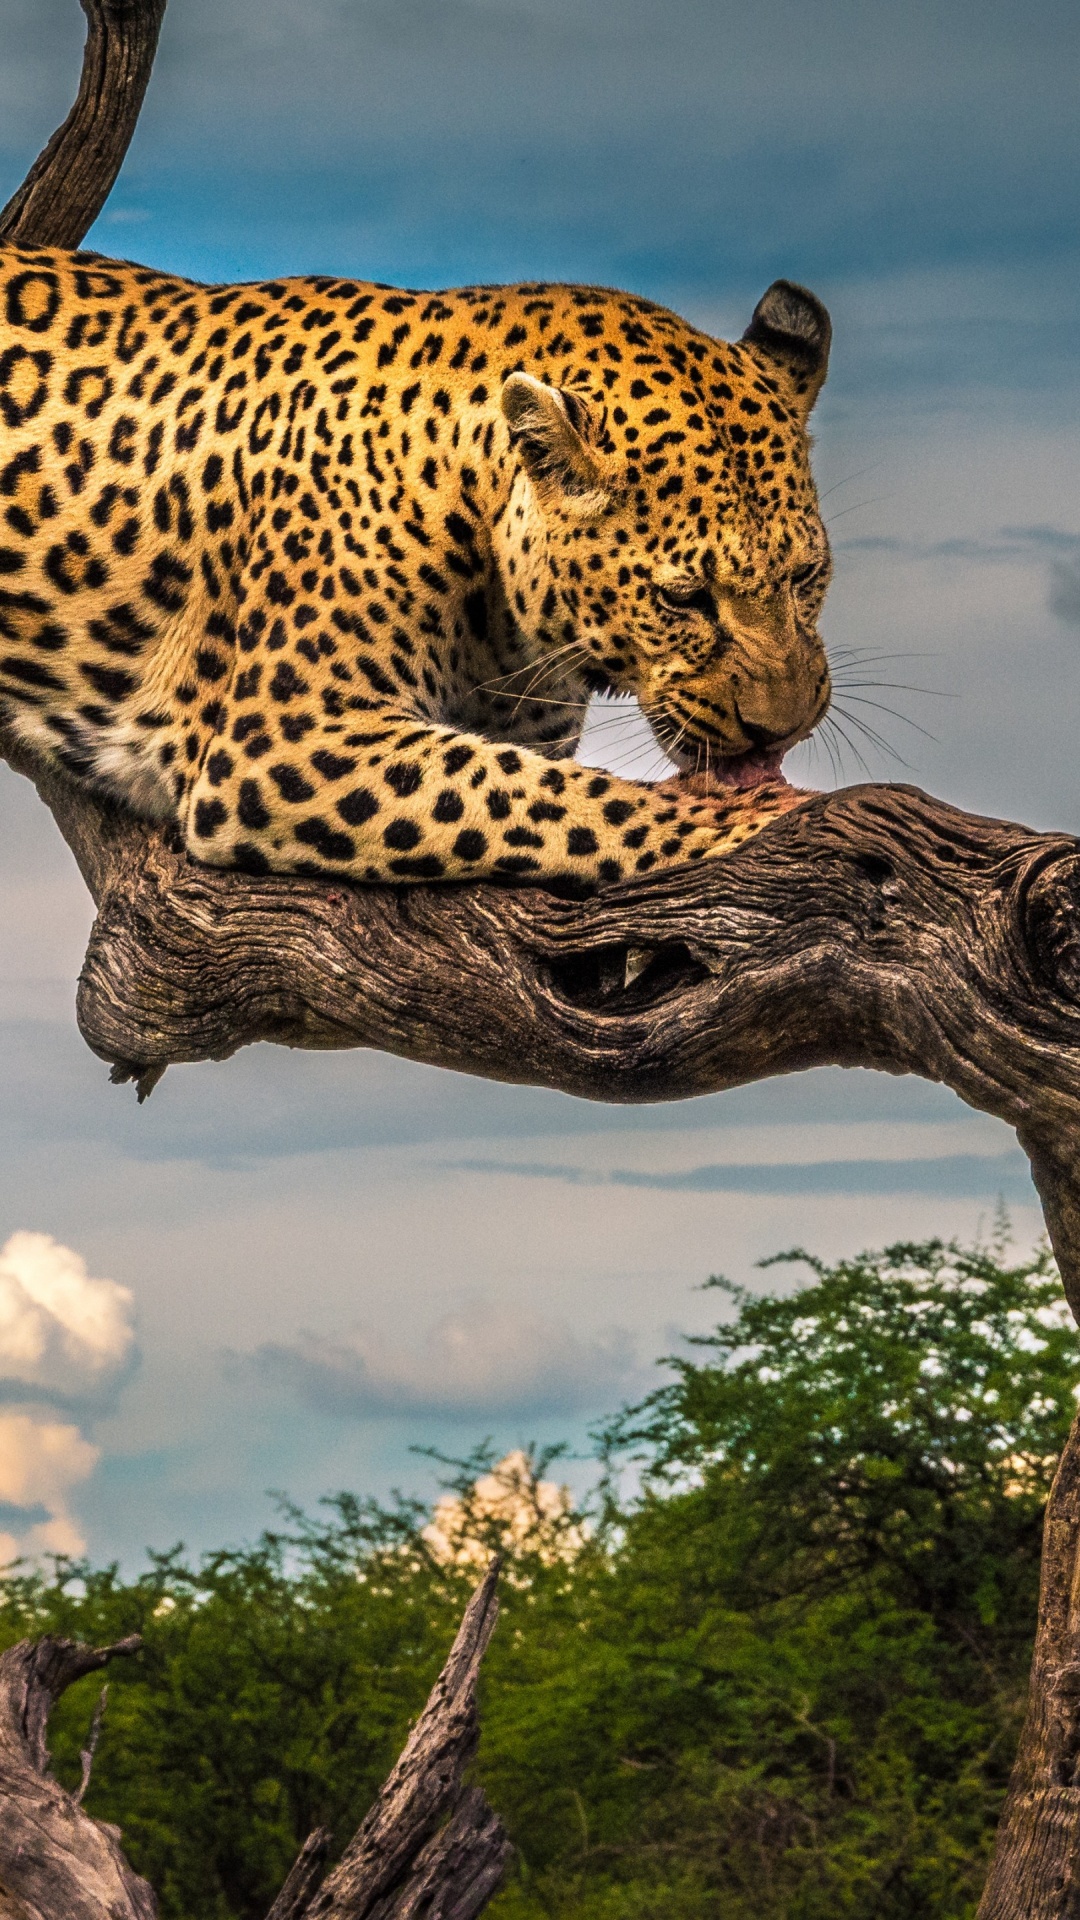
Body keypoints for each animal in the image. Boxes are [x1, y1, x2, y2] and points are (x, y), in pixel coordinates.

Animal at [0, 246, 833, 890]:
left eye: (805, 577)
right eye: (684, 599)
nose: (781, 733)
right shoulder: (286, 741)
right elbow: (537, 797)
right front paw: (736, 812)